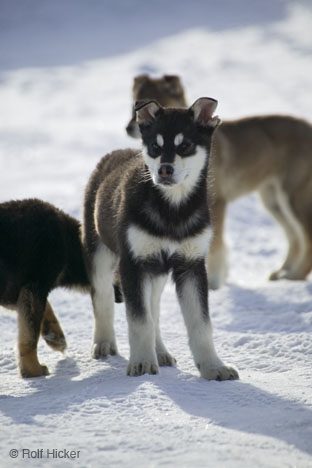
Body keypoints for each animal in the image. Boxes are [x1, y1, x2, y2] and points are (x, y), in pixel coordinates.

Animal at [0, 197, 89, 376]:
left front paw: (55, 336)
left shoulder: (18, 291)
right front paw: (33, 370)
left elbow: (41, 313)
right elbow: (30, 337)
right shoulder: (34, 285)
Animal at [83, 98, 239, 380]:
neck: (172, 210)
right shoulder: (133, 264)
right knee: (103, 299)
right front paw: (142, 364)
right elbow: (139, 320)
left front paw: (214, 367)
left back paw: (161, 352)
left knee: (153, 309)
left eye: (184, 145)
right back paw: (104, 343)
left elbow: (201, 325)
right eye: (155, 147)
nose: (164, 170)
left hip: (156, 272)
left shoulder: (191, 265)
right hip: (99, 252)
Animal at [126, 75, 312, 288]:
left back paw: (296, 275)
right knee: (294, 237)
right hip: (273, 200)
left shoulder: (217, 202)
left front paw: (214, 285)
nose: (129, 128)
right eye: (133, 105)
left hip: (293, 195)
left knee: (306, 237)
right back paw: (283, 272)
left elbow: (216, 247)